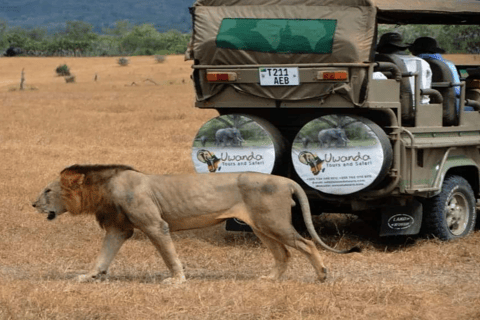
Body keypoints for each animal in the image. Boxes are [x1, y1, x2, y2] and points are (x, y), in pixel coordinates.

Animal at [31, 165, 358, 282]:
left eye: (47, 190)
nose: (33, 204)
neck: (103, 188)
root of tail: (287, 180)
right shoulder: (119, 228)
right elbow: (104, 255)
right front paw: (89, 276)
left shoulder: (155, 225)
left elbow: (168, 254)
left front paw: (176, 280)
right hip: (261, 226)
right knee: (284, 253)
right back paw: (270, 279)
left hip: (272, 222)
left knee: (305, 244)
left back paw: (322, 275)